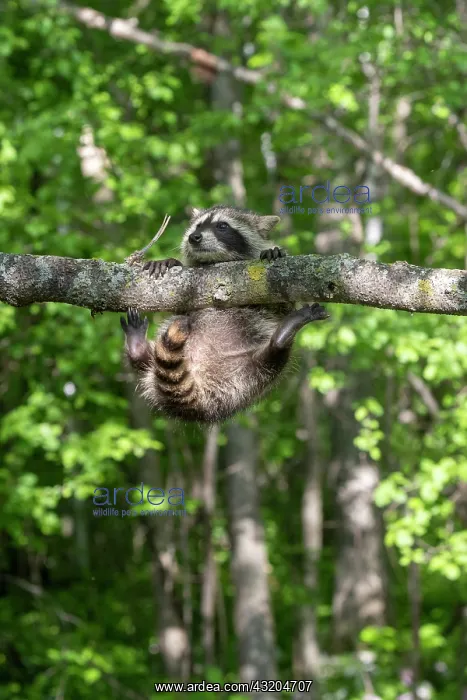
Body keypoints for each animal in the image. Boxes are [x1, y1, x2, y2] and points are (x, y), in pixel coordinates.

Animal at [120, 205, 329, 423]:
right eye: (198, 225)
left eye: (222, 226)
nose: (194, 237)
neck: (217, 261)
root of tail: (202, 402)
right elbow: (180, 308)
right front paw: (170, 261)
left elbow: (280, 307)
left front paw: (273, 251)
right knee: (146, 362)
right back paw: (138, 349)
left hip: (248, 380)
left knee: (273, 359)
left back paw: (281, 337)